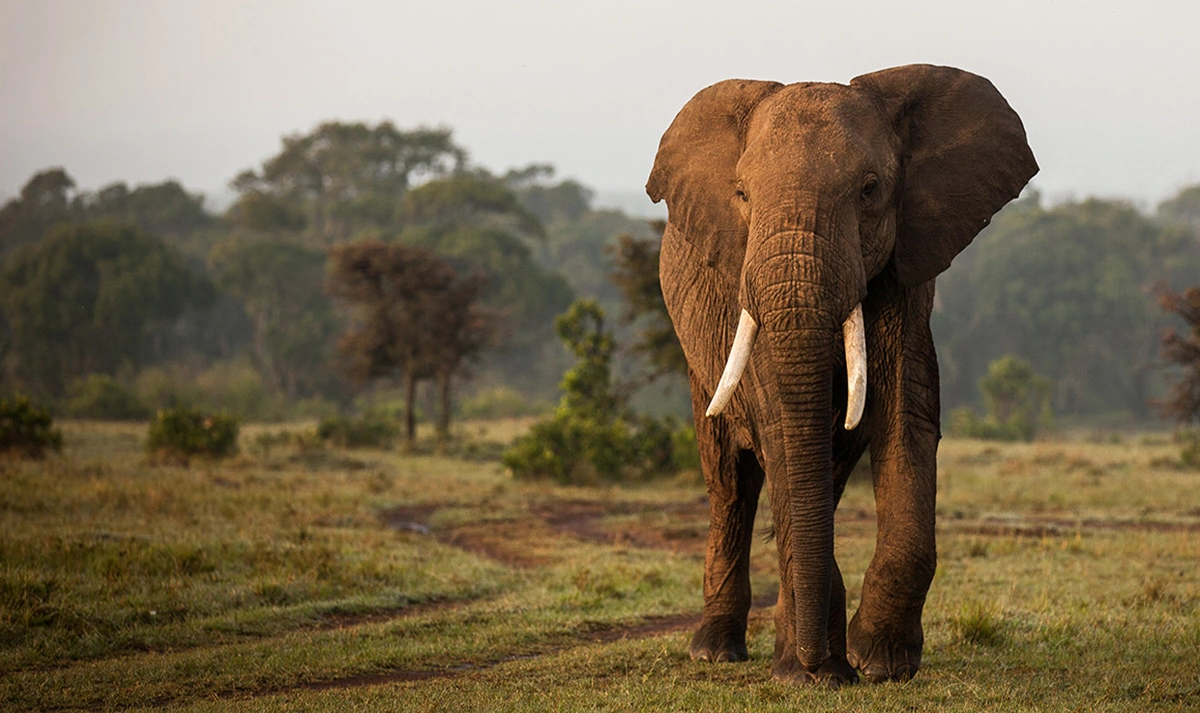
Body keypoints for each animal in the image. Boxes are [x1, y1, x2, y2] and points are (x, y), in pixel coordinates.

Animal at [646, 64, 1037, 686]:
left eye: (870, 189)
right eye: (742, 195)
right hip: (699, 363)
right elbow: (781, 436)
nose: (817, 666)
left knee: (820, 476)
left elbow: (906, 414)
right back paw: (715, 651)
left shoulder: (906, 272)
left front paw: (878, 664)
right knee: (730, 482)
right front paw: (811, 672)